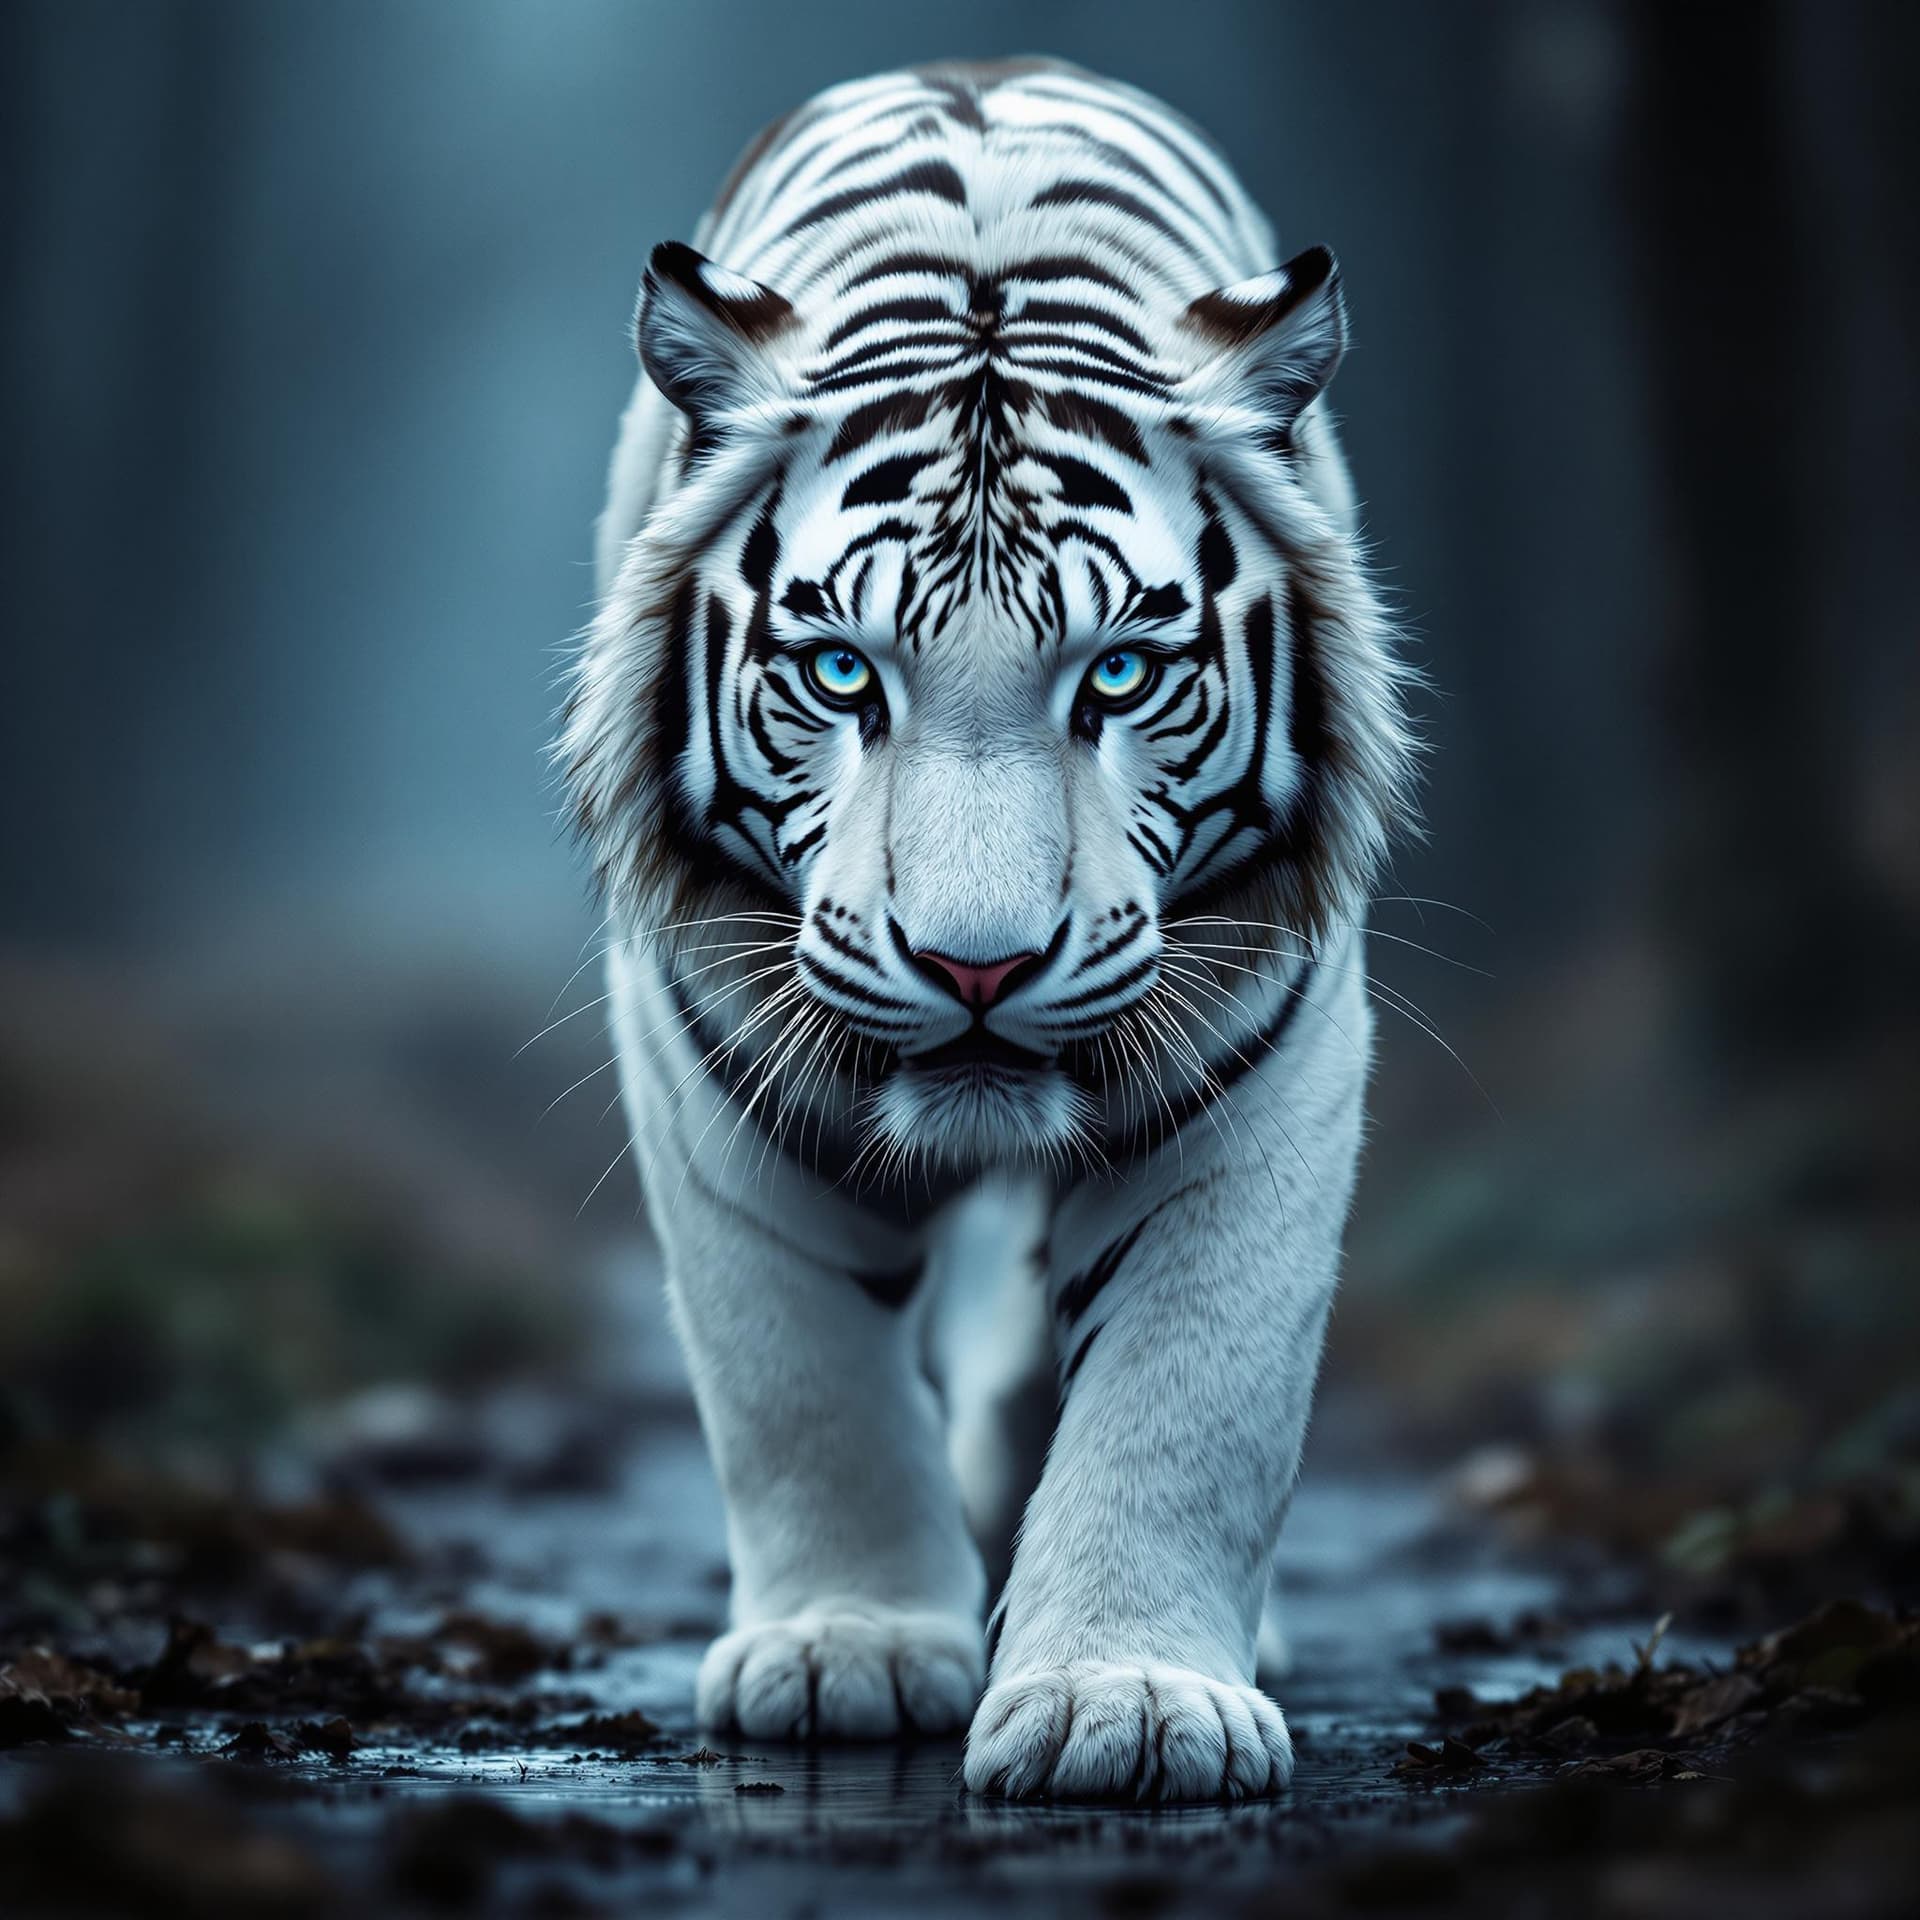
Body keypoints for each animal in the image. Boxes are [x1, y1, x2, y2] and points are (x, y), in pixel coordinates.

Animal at [561, 58, 1416, 1803]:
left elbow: (1190, 1392)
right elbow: (795, 1372)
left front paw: (1127, 1701)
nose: (977, 966)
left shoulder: (1266, 1059)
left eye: (1120, 674)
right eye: (840, 673)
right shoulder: (707, 1052)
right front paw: (852, 1652)